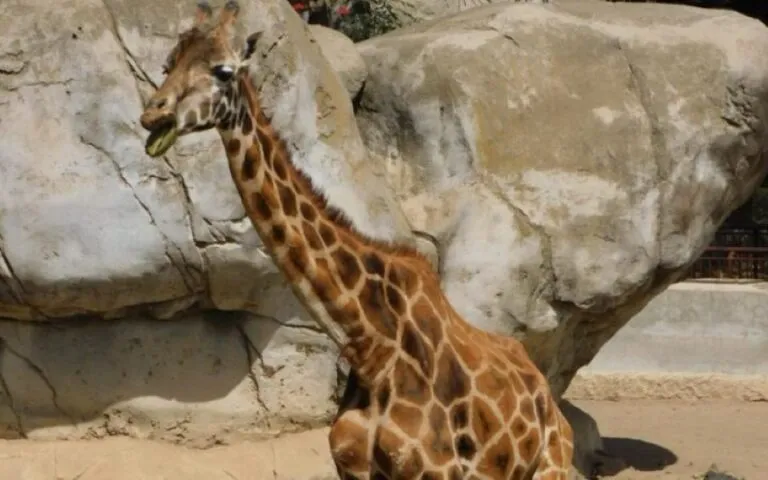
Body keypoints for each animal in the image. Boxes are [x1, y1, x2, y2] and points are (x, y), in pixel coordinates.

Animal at [139, 2, 574, 478]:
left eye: (223, 71)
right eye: (168, 65)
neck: (371, 347)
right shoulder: (354, 467)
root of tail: (549, 399)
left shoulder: (435, 470)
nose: (153, 114)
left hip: (552, 465)